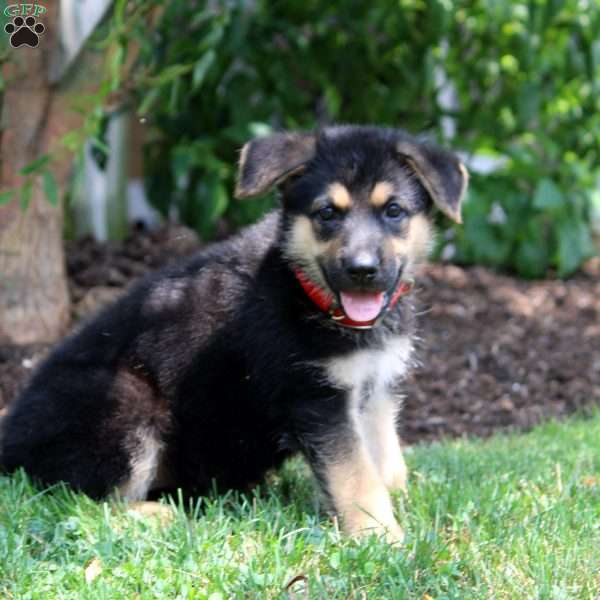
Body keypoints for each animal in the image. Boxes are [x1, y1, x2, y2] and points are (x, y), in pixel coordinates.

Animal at [0, 124, 466, 540]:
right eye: (327, 214)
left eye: (394, 211)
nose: (363, 271)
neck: (306, 288)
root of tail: (9, 442)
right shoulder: (316, 397)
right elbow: (356, 475)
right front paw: (380, 536)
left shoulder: (376, 389)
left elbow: (384, 461)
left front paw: (401, 504)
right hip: (124, 400)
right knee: (79, 499)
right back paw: (157, 513)